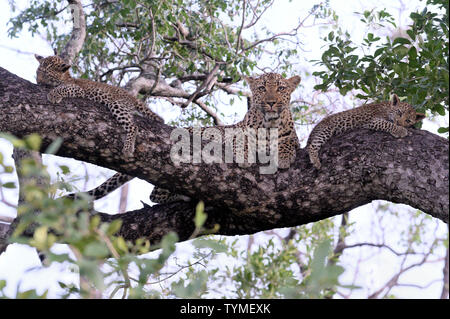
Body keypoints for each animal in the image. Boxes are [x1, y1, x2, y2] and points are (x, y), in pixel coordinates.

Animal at [33, 54, 163, 158]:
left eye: (46, 74)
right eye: (37, 72)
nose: (38, 81)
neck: (65, 77)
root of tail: (131, 97)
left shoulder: (78, 89)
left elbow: (62, 88)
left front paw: (53, 95)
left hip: (117, 104)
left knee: (133, 126)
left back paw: (128, 148)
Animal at [65, 72, 300, 204]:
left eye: (281, 88)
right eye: (262, 88)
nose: (271, 102)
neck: (269, 124)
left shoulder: (292, 139)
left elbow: (289, 143)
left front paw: (284, 156)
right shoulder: (235, 135)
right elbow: (241, 142)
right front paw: (245, 154)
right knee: (155, 196)